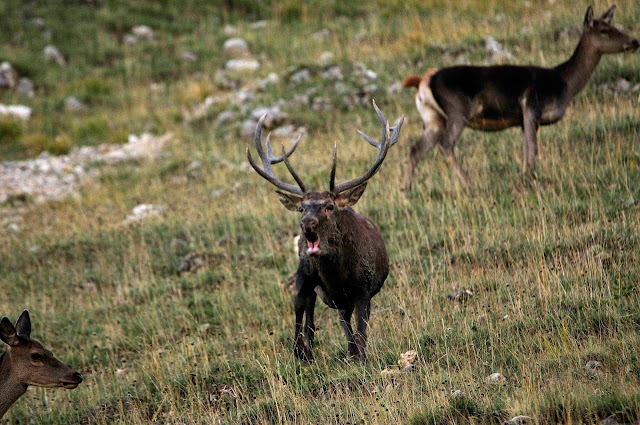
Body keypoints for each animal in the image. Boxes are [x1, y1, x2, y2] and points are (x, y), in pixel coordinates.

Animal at [246, 101, 404, 363]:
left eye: (329, 206)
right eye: (302, 207)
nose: (307, 223)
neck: (337, 276)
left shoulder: (364, 289)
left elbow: (360, 330)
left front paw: (360, 357)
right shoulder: (306, 278)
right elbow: (304, 316)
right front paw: (302, 351)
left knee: (346, 322)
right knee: (311, 317)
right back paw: (308, 351)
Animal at [401, 5, 639, 192]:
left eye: (616, 27)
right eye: (604, 30)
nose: (634, 41)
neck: (564, 84)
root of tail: (423, 81)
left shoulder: (524, 119)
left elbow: (527, 150)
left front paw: (527, 177)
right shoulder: (532, 105)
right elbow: (533, 150)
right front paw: (532, 180)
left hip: (433, 119)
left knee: (415, 149)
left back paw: (406, 190)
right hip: (458, 110)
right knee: (446, 144)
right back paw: (470, 185)